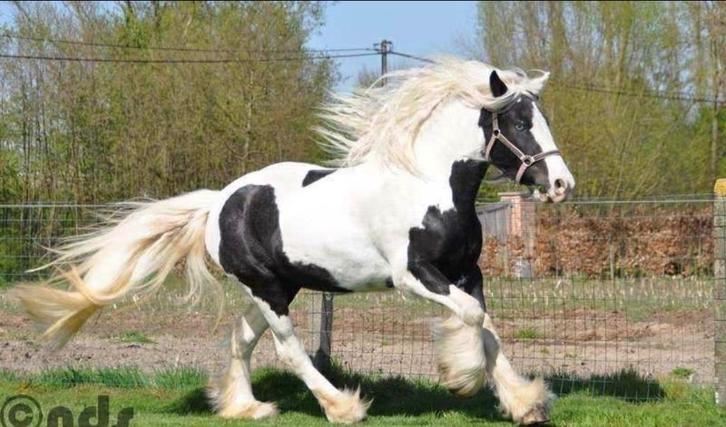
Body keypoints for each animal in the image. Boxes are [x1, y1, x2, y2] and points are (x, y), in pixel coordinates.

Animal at [14, 57, 574, 425]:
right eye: (519, 121)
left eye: (543, 118)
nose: (561, 185)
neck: (428, 186)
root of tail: (221, 201)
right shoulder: (414, 276)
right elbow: (473, 319)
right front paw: (461, 377)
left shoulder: (466, 272)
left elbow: (488, 325)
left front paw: (524, 403)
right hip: (266, 288)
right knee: (287, 349)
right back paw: (342, 407)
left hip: (279, 287)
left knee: (241, 339)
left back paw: (246, 407)